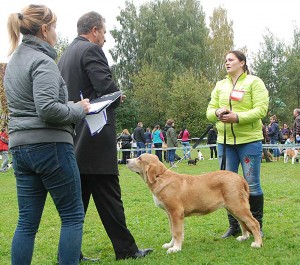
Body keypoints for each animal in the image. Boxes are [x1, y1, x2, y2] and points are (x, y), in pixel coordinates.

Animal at [126, 154, 262, 253]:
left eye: (139, 158)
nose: (126, 160)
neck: (160, 177)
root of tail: (240, 178)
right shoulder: (170, 214)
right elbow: (173, 231)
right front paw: (171, 245)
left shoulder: (176, 213)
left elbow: (177, 232)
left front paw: (176, 248)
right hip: (232, 207)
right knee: (243, 222)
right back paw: (244, 237)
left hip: (237, 206)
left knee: (254, 223)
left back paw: (257, 243)